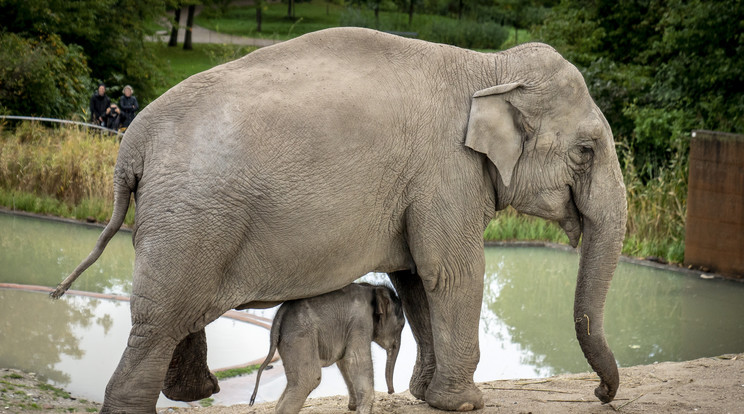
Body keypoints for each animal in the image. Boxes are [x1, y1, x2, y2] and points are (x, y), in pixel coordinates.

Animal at [251, 284, 406, 414]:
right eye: (402, 326)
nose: (391, 391)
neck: (372, 288)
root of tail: (279, 315)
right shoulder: (360, 322)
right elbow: (355, 360)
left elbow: (343, 362)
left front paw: (353, 407)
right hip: (300, 336)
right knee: (309, 379)